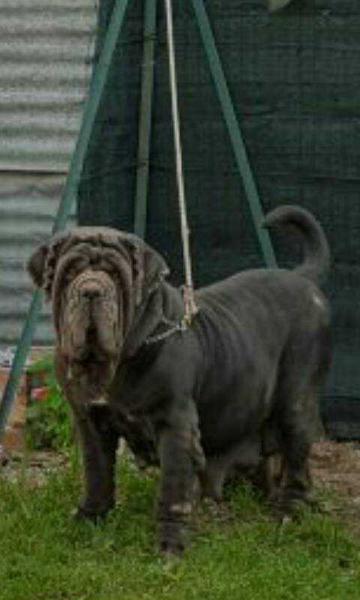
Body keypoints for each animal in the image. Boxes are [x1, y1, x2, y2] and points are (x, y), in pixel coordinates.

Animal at [28, 205, 332, 552]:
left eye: (117, 275)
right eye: (68, 274)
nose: (91, 290)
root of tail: (301, 277)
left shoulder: (176, 426)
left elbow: (172, 492)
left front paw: (170, 545)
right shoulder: (90, 421)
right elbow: (97, 473)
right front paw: (90, 519)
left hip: (296, 403)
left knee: (296, 457)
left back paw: (289, 511)